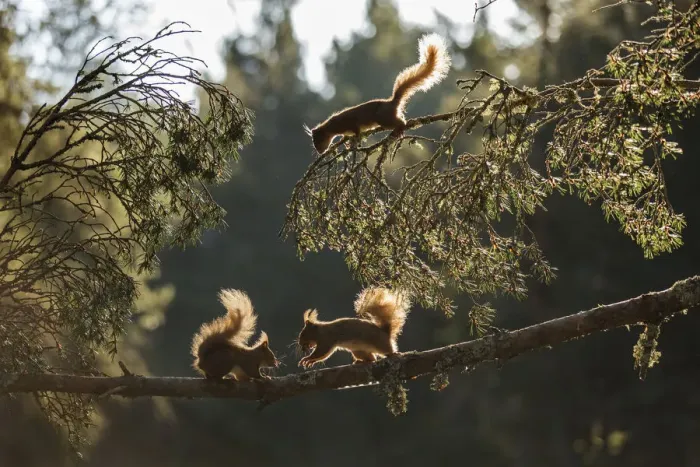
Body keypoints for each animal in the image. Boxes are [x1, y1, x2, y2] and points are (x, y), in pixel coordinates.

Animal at [304, 33, 451, 155]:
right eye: (314, 142)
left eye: (318, 140)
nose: (319, 152)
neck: (332, 126)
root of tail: (392, 102)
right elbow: (346, 136)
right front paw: (346, 142)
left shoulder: (351, 123)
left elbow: (356, 132)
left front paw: (353, 141)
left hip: (384, 118)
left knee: (401, 121)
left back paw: (401, 127)